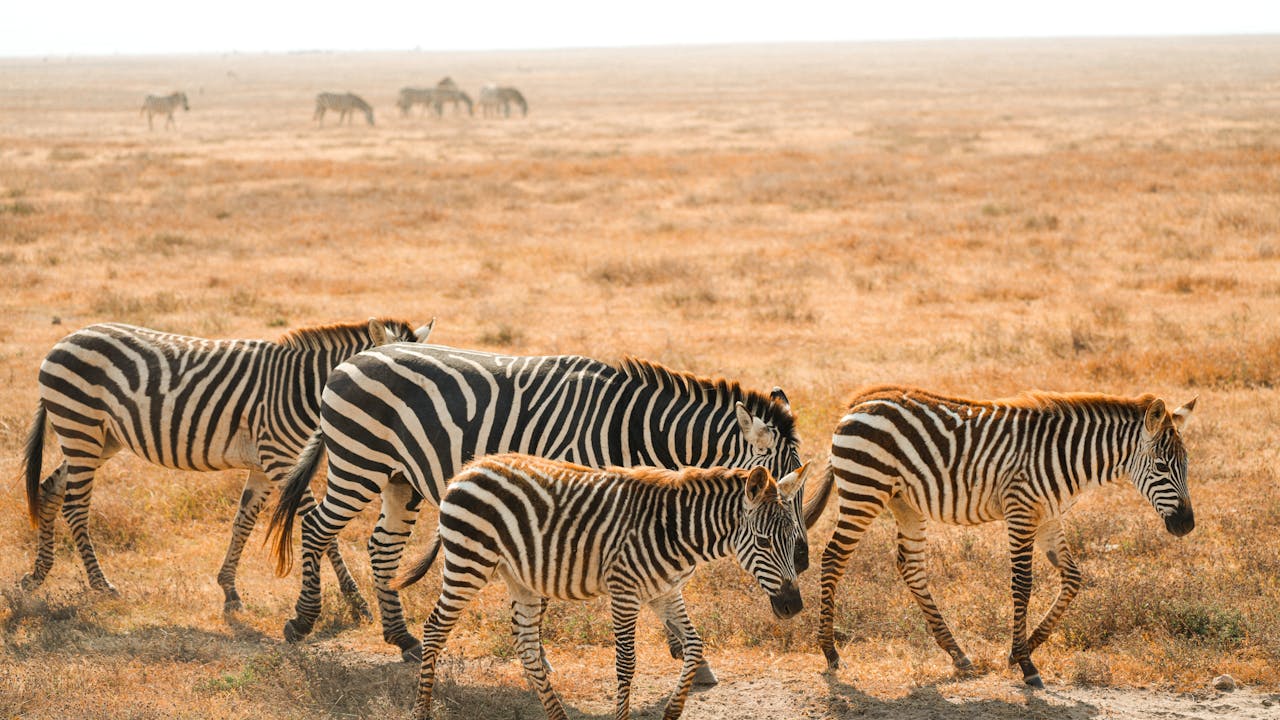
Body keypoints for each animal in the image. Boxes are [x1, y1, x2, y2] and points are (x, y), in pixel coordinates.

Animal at [19, 317, 434, 613]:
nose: (417, 430)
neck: (304, 388)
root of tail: (67, 338)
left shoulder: (265, 466)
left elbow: (242, 523)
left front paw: (229, 589)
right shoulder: (282, 461)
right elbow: (321, 529)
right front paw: (355, 599)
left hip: (100, 438)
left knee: (49, 489)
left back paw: (37, 575)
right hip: (81, 428)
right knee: (75, 506)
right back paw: (100, 585)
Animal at [266, 343, 819, 685]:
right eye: (779, 489)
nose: (803, 561)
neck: (631, 432)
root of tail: (358, 355)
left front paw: (690, 658)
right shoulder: (567, 498)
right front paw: (543, 656)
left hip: (400, 479)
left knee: (381, 547)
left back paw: (402, 638)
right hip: (357, 463)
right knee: (315, 527)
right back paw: (301, 622)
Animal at [391, 454, 811, 720]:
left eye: (793, 539)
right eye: (763, 542)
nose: (793, 607)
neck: (677, 531)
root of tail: (469, 468)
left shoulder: (666, 593)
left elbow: (694, 647)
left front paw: (672, 712)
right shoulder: (624, 591)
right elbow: (626, 663)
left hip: (519, 577)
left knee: (525, 645)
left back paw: (557, 715)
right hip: (468, 562)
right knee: (435, 629)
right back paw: (421, 711)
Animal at [811, 386, 1196, 688]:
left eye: (1187, 465)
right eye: (1161, 467)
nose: (1187, 526)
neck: (1068, 455)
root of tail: (860, 401)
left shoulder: (1049, 517)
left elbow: (1073, 578)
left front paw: (1023, 649)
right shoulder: (1021, 510)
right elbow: (1022, 585)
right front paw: (1026, 663)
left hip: (903, 501)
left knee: (911, 566)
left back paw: (957, 653)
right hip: (864, 490)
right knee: (833, 558)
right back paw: (830, 652)